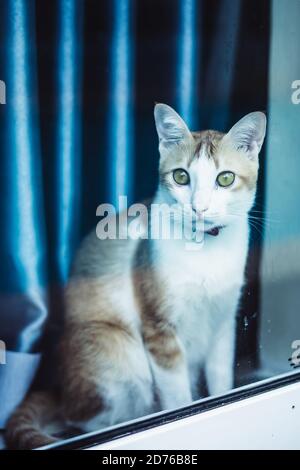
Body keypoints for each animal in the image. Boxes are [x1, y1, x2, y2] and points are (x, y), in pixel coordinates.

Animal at [5, 104, 266, 450]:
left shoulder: (223, 321)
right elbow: (178, 399)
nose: (198, 208)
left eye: (225, 178)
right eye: (181, 176)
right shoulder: (159, 330)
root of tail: (60, 390)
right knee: (81, 417)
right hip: (116, 348)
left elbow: (221, 379)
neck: (204, 252)